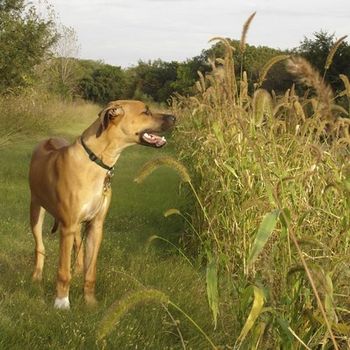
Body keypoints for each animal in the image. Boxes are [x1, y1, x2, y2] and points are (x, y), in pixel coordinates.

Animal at [28, 100, 175, 308]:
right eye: (145, 112)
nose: (174, 117)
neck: (96, 160)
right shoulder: (67, 226)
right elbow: (63, 271)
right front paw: (62, 302)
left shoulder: (96, 226)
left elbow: (91, 271)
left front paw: (90, 302)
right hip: (36, 210)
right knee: (40, 246)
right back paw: (37, 276)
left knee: (78, 246)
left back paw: (77, 269)